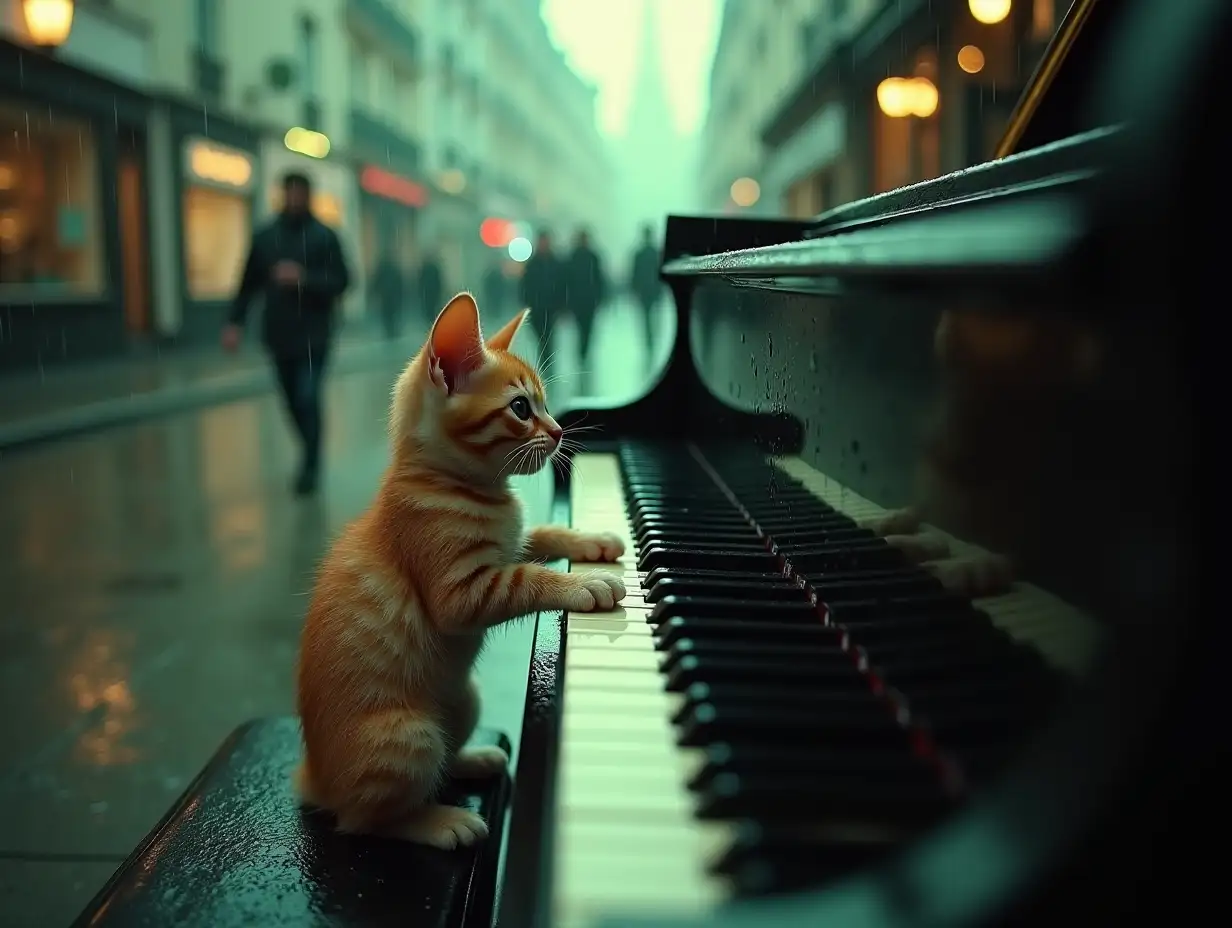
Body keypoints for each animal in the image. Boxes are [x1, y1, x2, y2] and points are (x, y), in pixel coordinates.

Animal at [295, 294, 625, 847]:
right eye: (521, 408)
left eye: (546, 404)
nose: (559, 432)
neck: (466, 484)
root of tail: (314, 776)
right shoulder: (464, 592)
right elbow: (530, 578)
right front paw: (583, 582)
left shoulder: (512, 544)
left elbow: (540, 536)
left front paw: (590, 541)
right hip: (407, 738)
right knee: (365, 820)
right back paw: (440, 820)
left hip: (464, 698)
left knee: (443, 757)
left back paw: (474, 758)